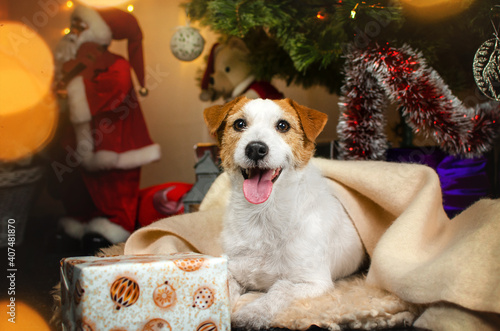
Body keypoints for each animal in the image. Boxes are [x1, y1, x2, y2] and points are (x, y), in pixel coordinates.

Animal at [203, 96, 364, 330]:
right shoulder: (233, 270)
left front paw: (252, 313)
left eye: (283, 125)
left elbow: (280, 289)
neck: (262, 216)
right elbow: (223, 289)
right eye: (239, 124)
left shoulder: (313, 282)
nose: (256, 149)